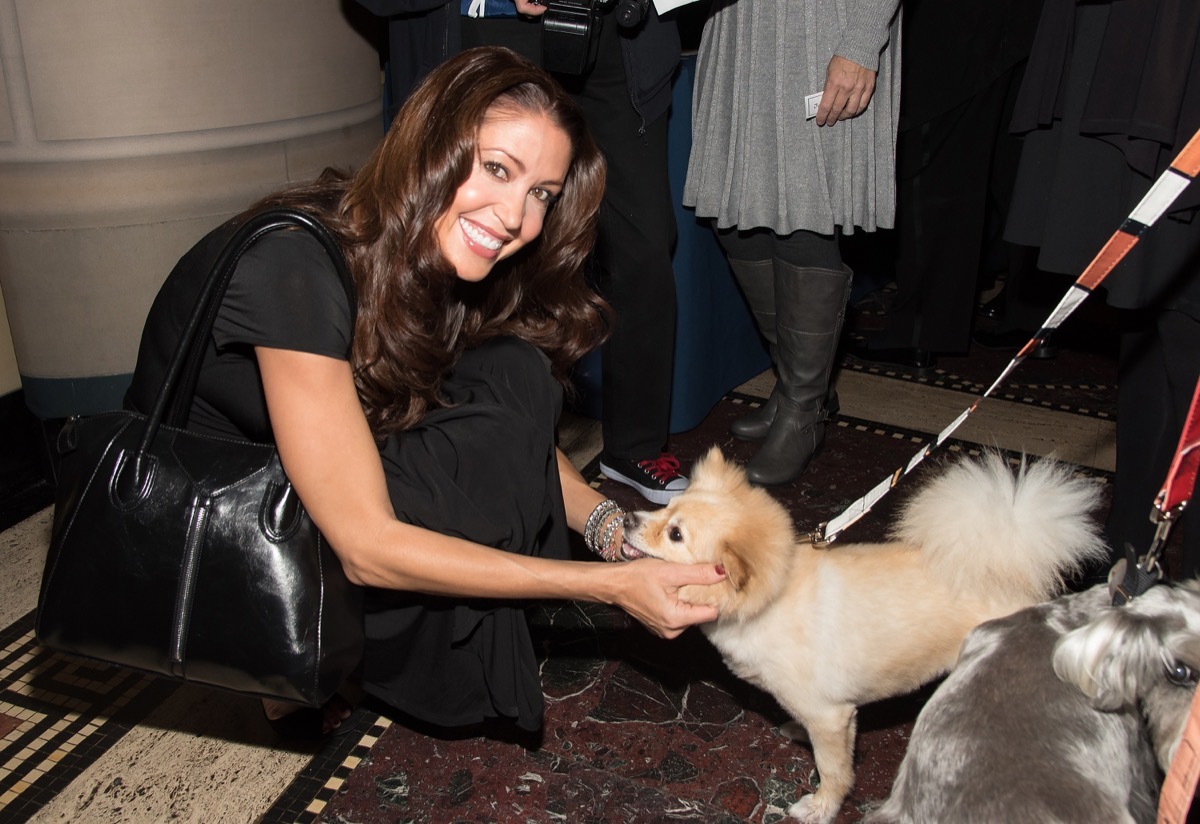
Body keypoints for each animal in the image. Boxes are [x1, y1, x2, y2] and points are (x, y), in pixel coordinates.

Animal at [624, 448, 1108, 824]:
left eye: (675, 534)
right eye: (667, 507)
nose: (627, 517)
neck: (773, 597)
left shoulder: (832, 717)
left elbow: (834, 771)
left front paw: (821, 808)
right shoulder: (832, 715)